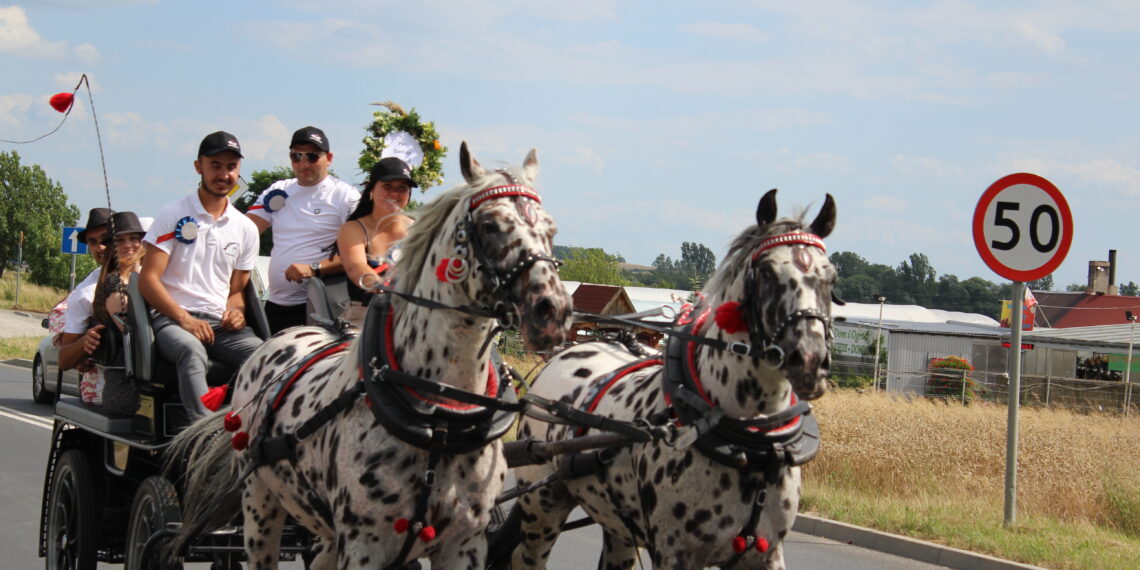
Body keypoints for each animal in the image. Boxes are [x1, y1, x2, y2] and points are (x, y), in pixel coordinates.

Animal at [165, 142, 574, 570]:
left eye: (550, 230)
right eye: (492, 225)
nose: (554, 311)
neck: (440, 422)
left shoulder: (464, 544)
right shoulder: (365, 545)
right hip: (260, 503)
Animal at [508, 189, 839, 567]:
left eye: (831, 278)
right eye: (767, 272)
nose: (810, 359)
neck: (750, 444)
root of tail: (563, 354)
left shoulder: (766, 554)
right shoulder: (673, 553)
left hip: (618, 529)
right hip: (542, 507)